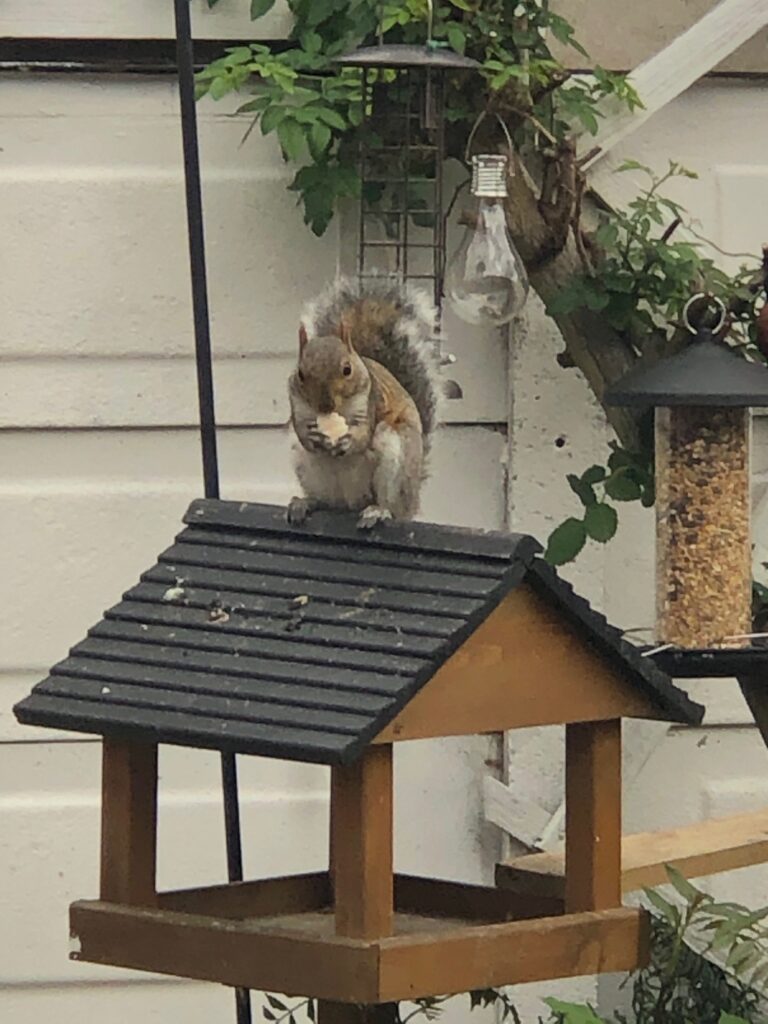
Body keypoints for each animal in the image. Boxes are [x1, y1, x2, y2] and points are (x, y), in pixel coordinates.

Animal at [287, 276, 441, 530]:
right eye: (300, 373)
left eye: (347, 369)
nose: (325, 405)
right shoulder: (297, 404)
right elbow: (300, 430)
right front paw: (311, 436)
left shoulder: (371, 402)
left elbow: (364, 435)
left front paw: (349, 440)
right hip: (307, 467)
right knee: (328, 502)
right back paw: (305, 503)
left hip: (396, 456)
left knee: (392, 505)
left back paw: (379, 511)